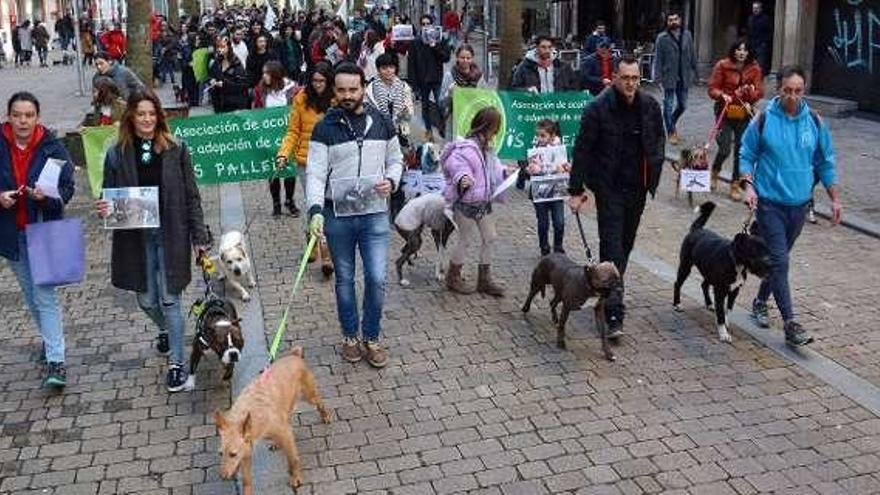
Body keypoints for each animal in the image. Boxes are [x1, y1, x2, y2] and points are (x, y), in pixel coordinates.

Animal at [215, 348, 332, 495]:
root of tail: (294, 355)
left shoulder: (285, 436)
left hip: (310, 396)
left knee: (320, 404)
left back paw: (325, 416)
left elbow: (293, 460)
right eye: (220, 453)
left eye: (232, 454)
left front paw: (296, 477)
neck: (251, 413)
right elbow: (247, 481)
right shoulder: (246, 453)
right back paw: (276, 443)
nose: (222, 476)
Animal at [672, 203, 768, 342]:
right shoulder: (720, 292)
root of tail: (697, 229)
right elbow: (721, 314)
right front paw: (723, 334)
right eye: (754, 250)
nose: (770, 265)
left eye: (766, 248)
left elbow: (728, 310)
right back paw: (677, 304)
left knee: (704, 285)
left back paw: (709, 304)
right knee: (677, 284)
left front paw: (726, 324)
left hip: (708, 272)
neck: (736, 262)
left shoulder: (734, 291)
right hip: (685, 266)